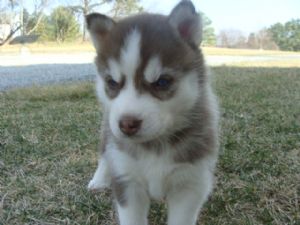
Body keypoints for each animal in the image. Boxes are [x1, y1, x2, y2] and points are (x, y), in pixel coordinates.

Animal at [85, 0, 219, 224]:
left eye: (162, 82)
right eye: (112, 83)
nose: (127, 124)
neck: (155, 145)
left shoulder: (190, 184)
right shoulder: (127, 181)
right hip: (107, 133)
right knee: (104, 155)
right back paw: (98, 180)